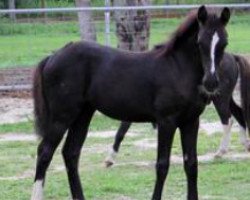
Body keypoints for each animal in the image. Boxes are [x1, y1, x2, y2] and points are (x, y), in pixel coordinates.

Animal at [31, 6, 234, 200]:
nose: (211, 82)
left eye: (224, 43)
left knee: (71, 153)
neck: (178, 68)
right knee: (44, 152)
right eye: (200, 42)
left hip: (83, 114)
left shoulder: (191, 122)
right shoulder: (166, 122)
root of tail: (52, 57)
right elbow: (162, 165)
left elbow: (191, 164)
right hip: (62, 117)